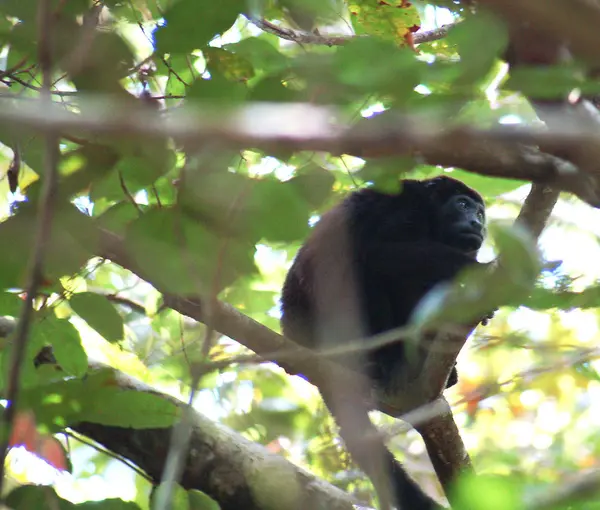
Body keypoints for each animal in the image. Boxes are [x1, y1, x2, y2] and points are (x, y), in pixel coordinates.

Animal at [282, 176, 488, 510]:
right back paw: (383, 363)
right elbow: (383, 252)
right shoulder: (404, 207)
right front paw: (478, 272)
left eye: (480, 213)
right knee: (366, 271)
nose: (477, 223)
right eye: (462, 205)